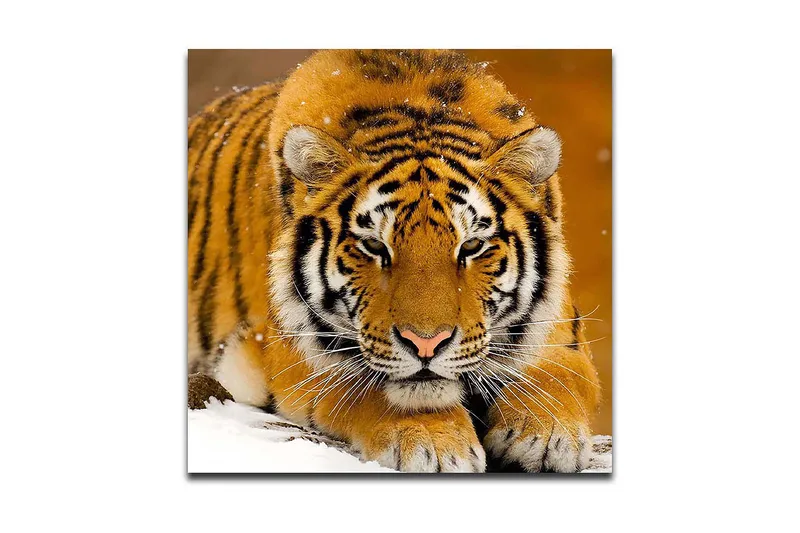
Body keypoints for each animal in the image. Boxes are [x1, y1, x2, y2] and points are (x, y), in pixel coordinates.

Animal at [188, 49, 601, 473]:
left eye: (471, 246)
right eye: (374, 246)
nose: (426, 344)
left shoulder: (560, 329)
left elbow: (561, 374)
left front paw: (546, 435)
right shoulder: (286, 348)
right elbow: (368, 385)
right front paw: (433, 443)